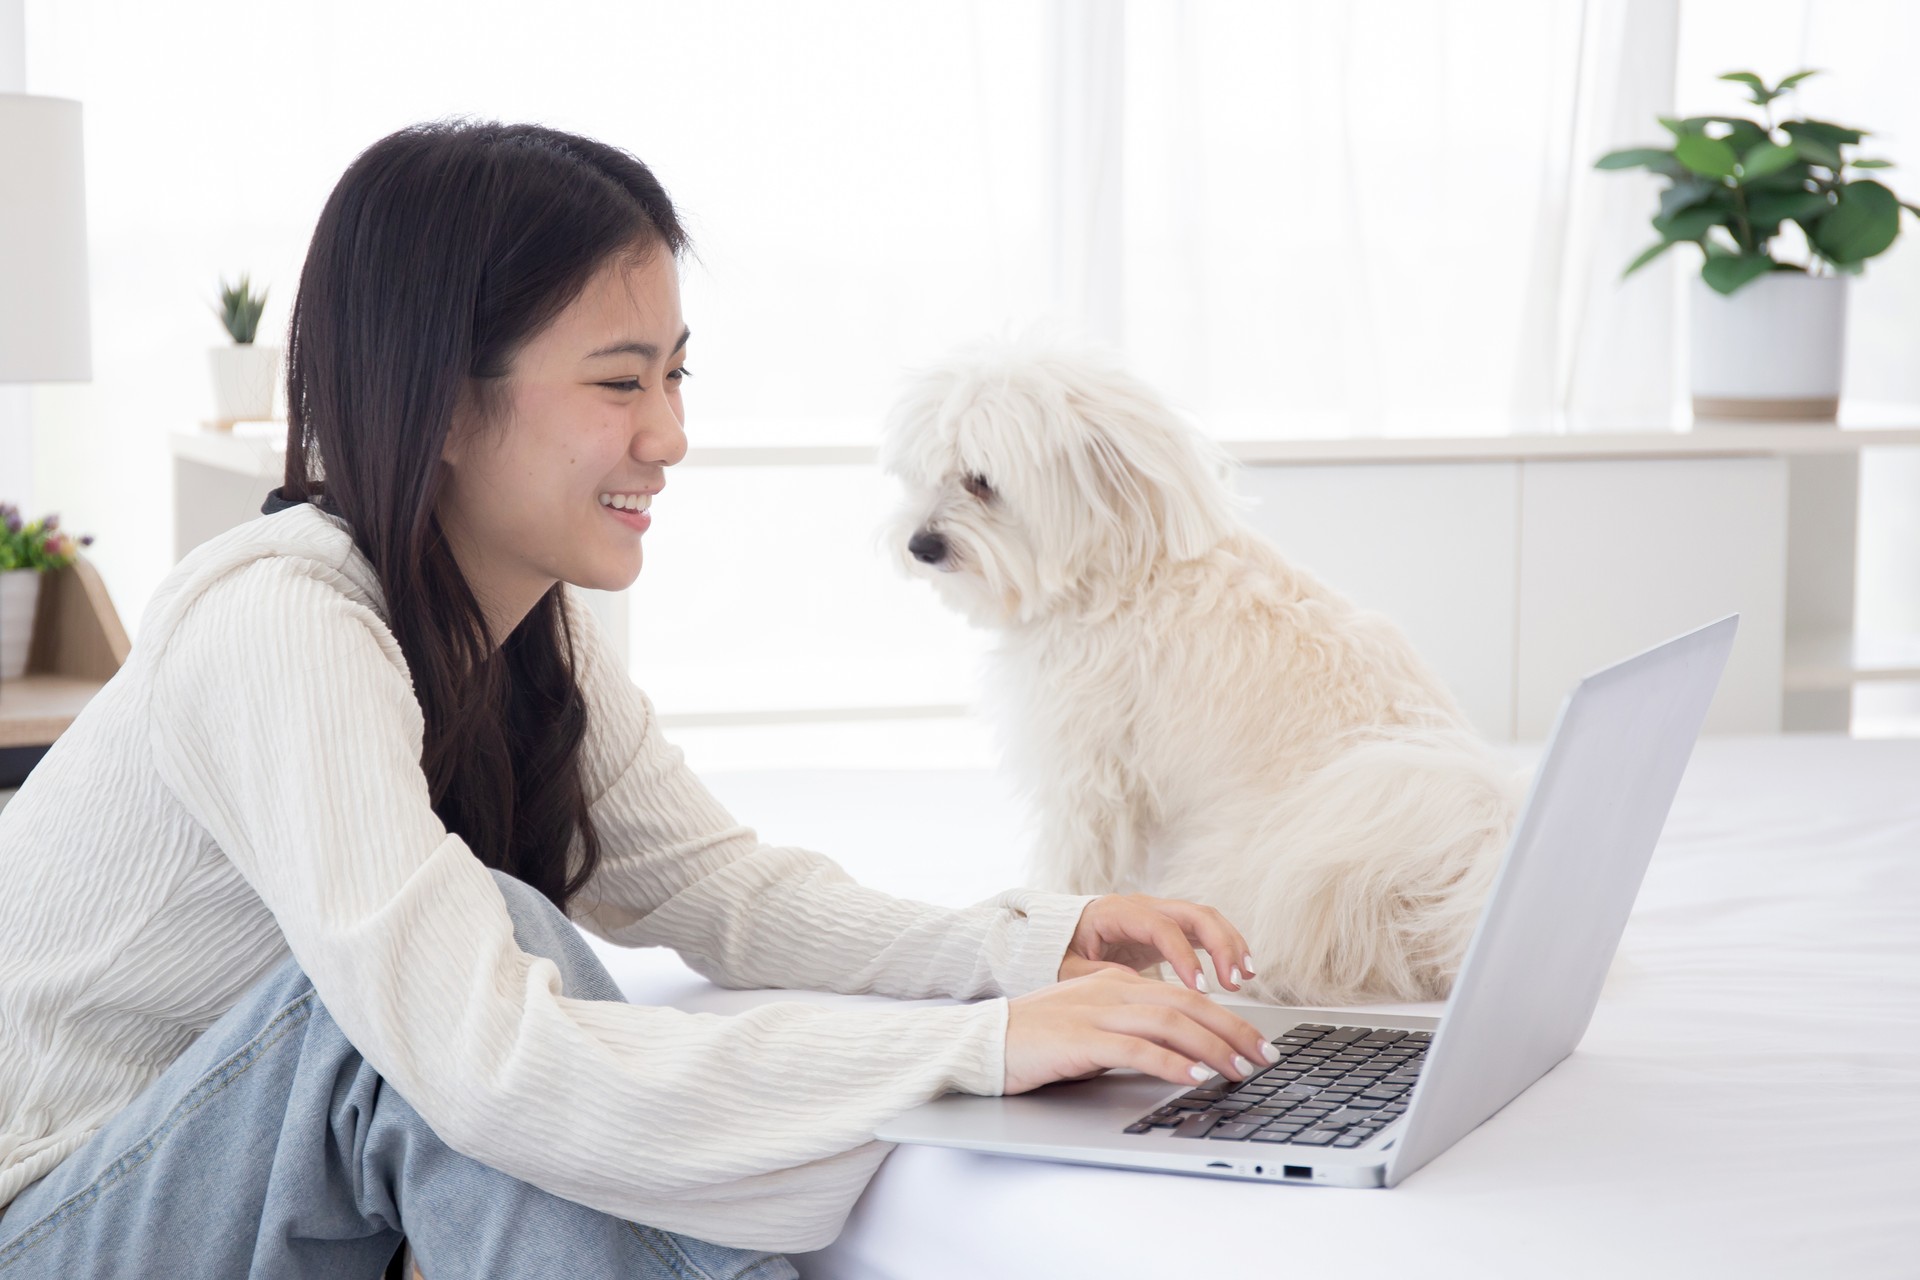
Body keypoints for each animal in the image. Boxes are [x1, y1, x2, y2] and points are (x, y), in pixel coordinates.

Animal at [883, 337, 1528, 1013]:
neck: (1122, 568)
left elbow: (1076, 862)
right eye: (922, 475)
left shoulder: (1089, 773)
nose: (920, 545)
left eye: (981, 482)